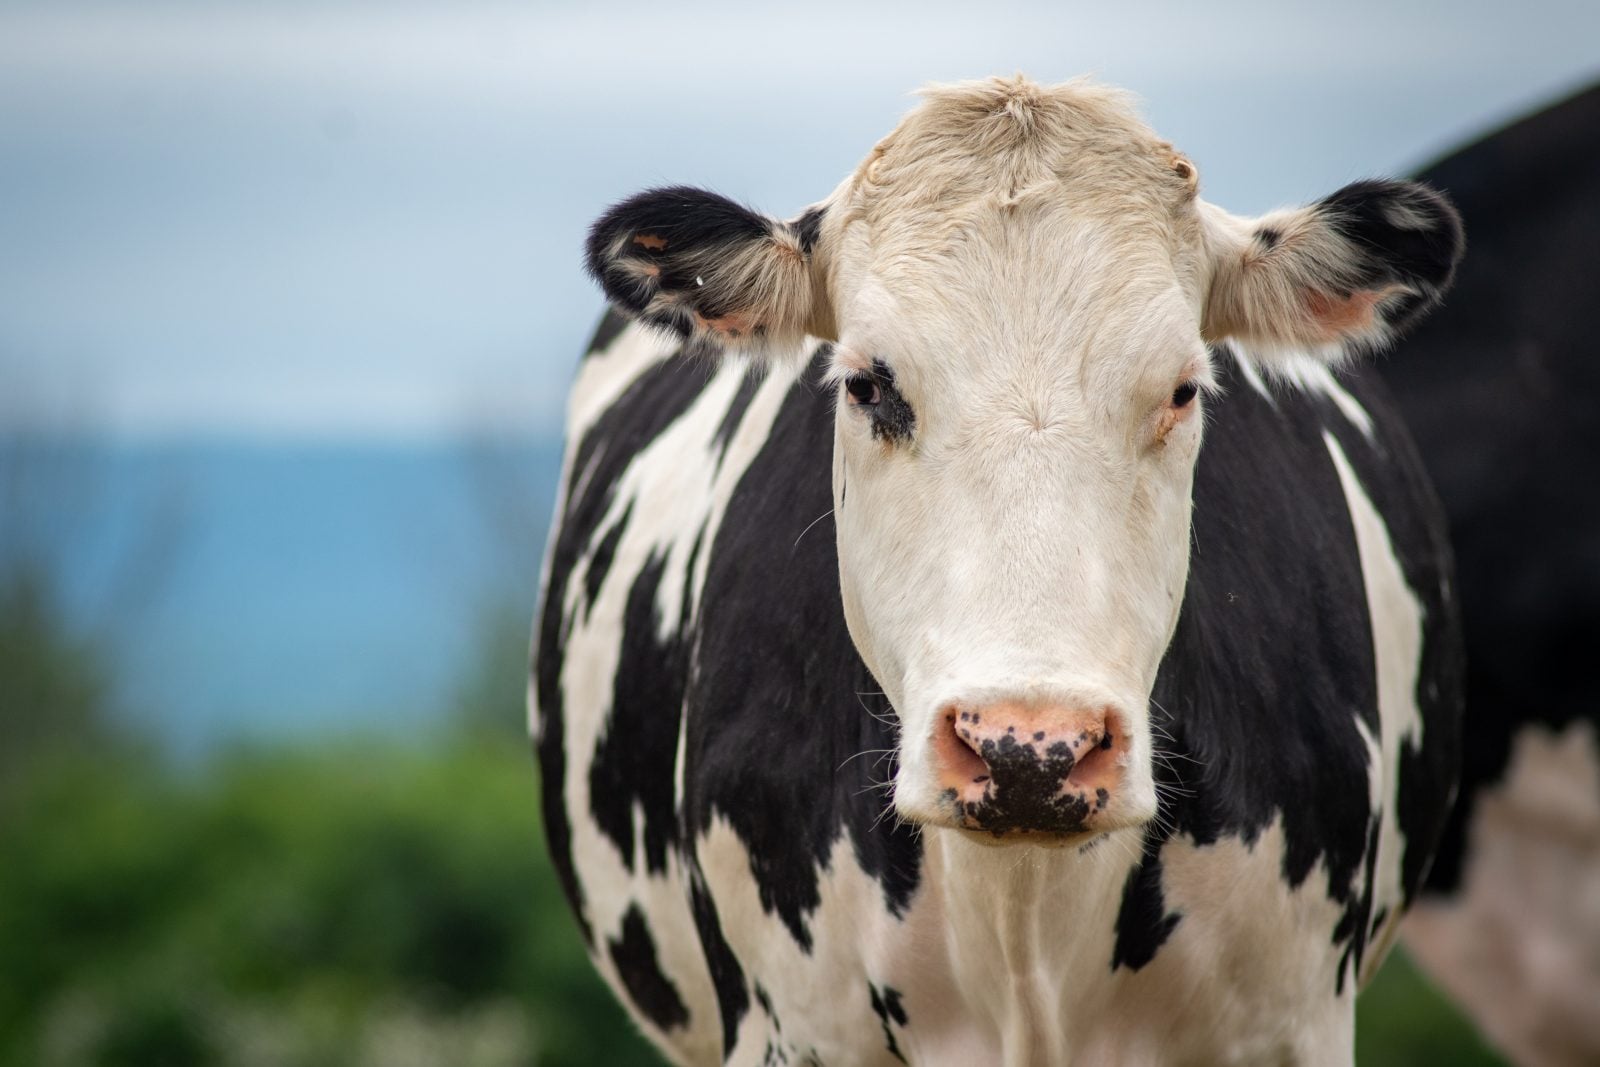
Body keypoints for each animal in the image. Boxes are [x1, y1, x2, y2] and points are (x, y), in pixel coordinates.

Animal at [532, 76, 1466, 1065]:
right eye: (868, 384)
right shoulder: (792, 1024)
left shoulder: (1292, 1019)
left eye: (1183, 388)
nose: (1028, 748)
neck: (1022, 910)